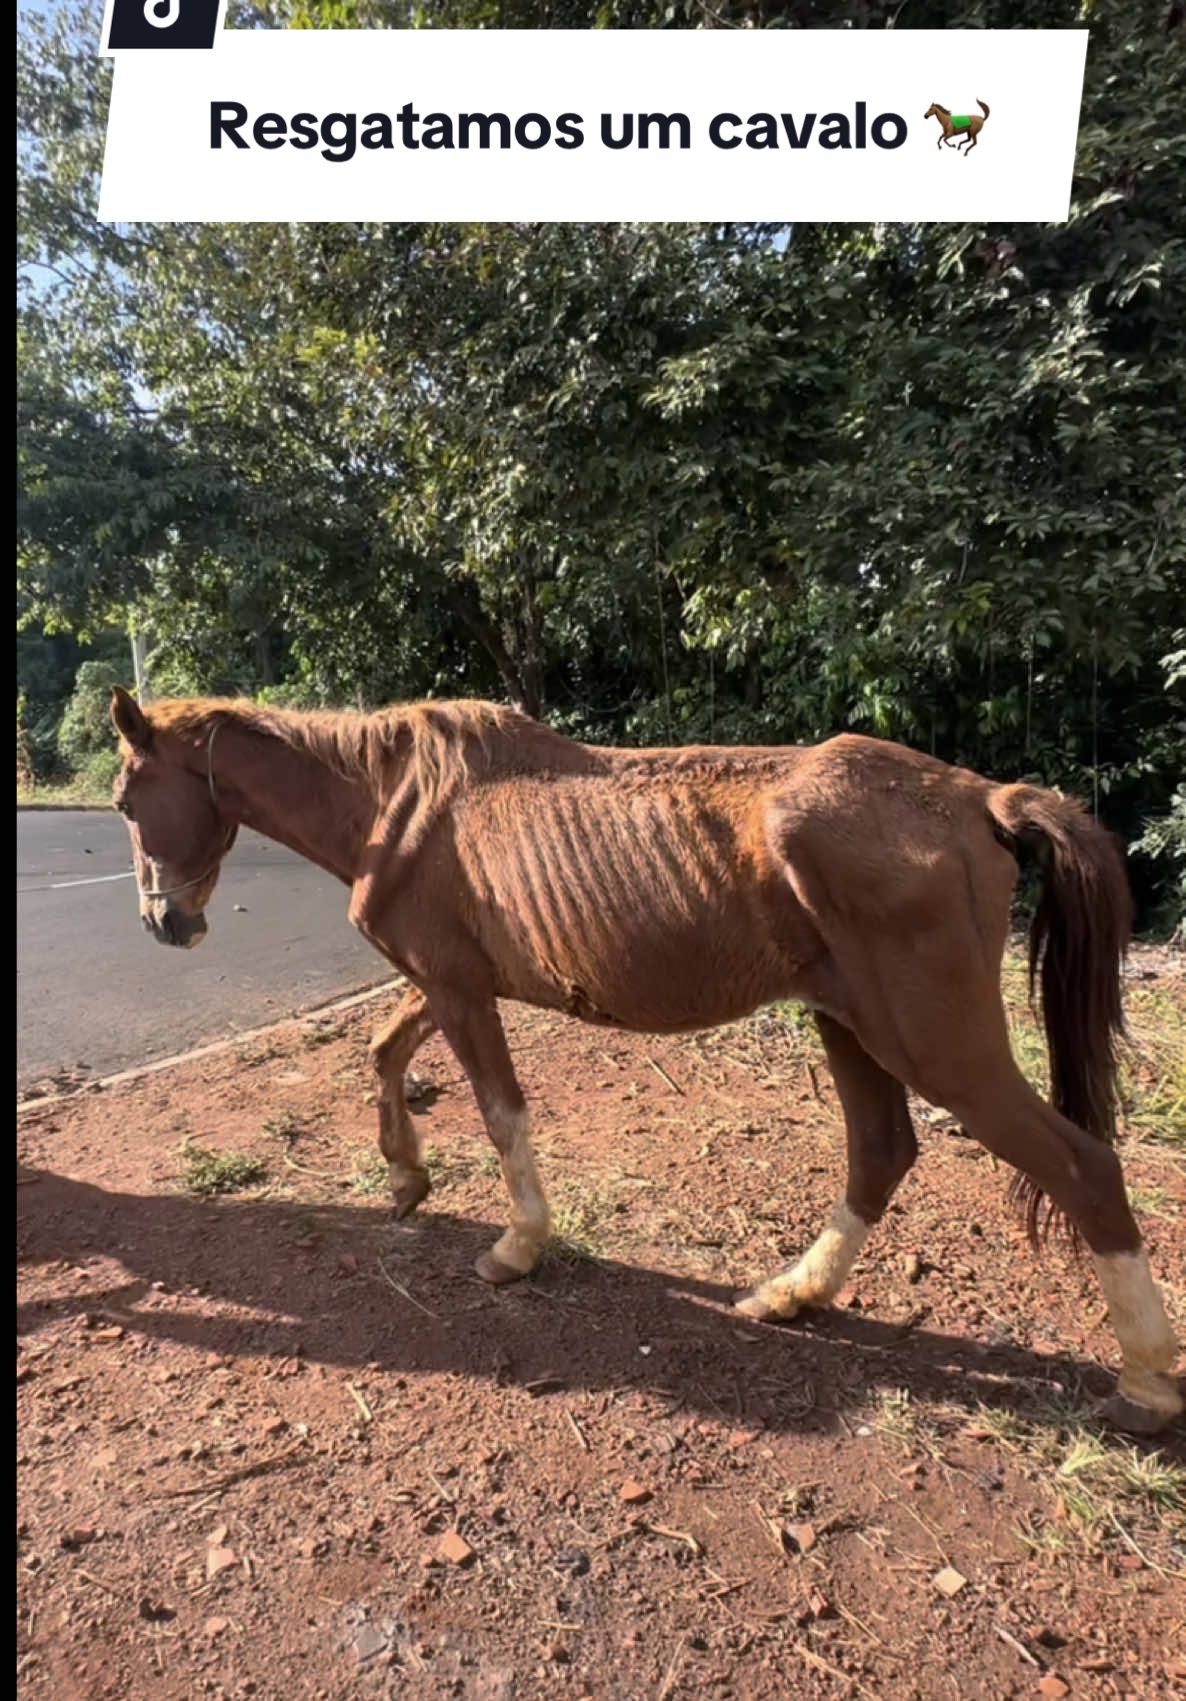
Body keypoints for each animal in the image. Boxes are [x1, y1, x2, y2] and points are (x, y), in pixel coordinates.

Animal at [108, 686, 1181, 1434]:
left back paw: (1146, 1382)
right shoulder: (447, 982)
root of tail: (980, 799)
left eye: (125, 795)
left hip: (934, 1042)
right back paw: (793, 1293)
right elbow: (383, 1050)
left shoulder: (458, 989)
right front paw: (406, 1176)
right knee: (880, 1153)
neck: (393, 801)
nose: (164, 924)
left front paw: (517, 1244)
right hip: (849, 1024)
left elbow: (500, 1112)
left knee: (1086, 1167)